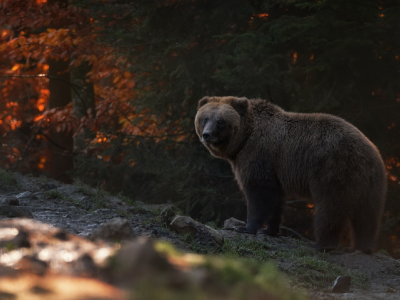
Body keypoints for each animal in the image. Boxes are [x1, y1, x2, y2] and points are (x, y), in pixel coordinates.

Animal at [195, 96, 386, 253]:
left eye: (220, 121)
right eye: (204, 118)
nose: (207, 135)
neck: (244, 140)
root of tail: (369, 152)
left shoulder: (259, 155)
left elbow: (258, 192)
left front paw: (245, 227)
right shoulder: (275, 169)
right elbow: (275, 198)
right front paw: (269, 230)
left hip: (332, 169)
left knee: (330, 207)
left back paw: (321, 244)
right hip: (371, 182)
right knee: (367, 214)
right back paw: (362, 246)